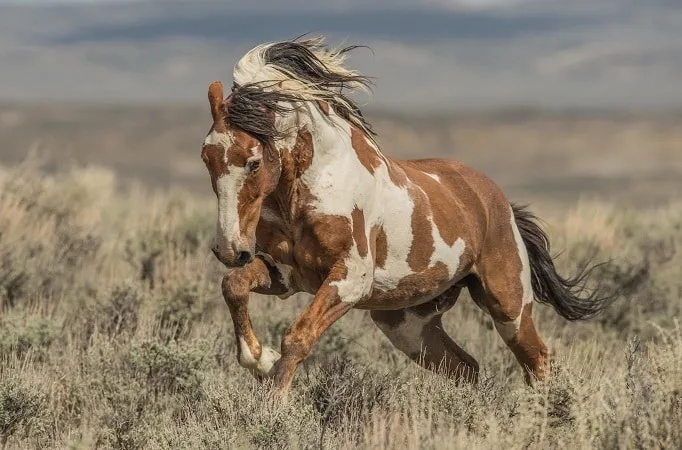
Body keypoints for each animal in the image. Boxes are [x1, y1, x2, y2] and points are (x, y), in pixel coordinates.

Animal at [199, 36, 612, 398]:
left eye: (254, 162)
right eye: (206, 158)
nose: (229, 249)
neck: (308, 191)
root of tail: (499, 202)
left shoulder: (349, 280)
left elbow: (297, 336)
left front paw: (273, 404)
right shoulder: (287, 275)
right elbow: (234, 286)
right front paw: (259, 360)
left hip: (508, 306)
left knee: (537, 360)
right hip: (408, 324)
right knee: (465, 367)